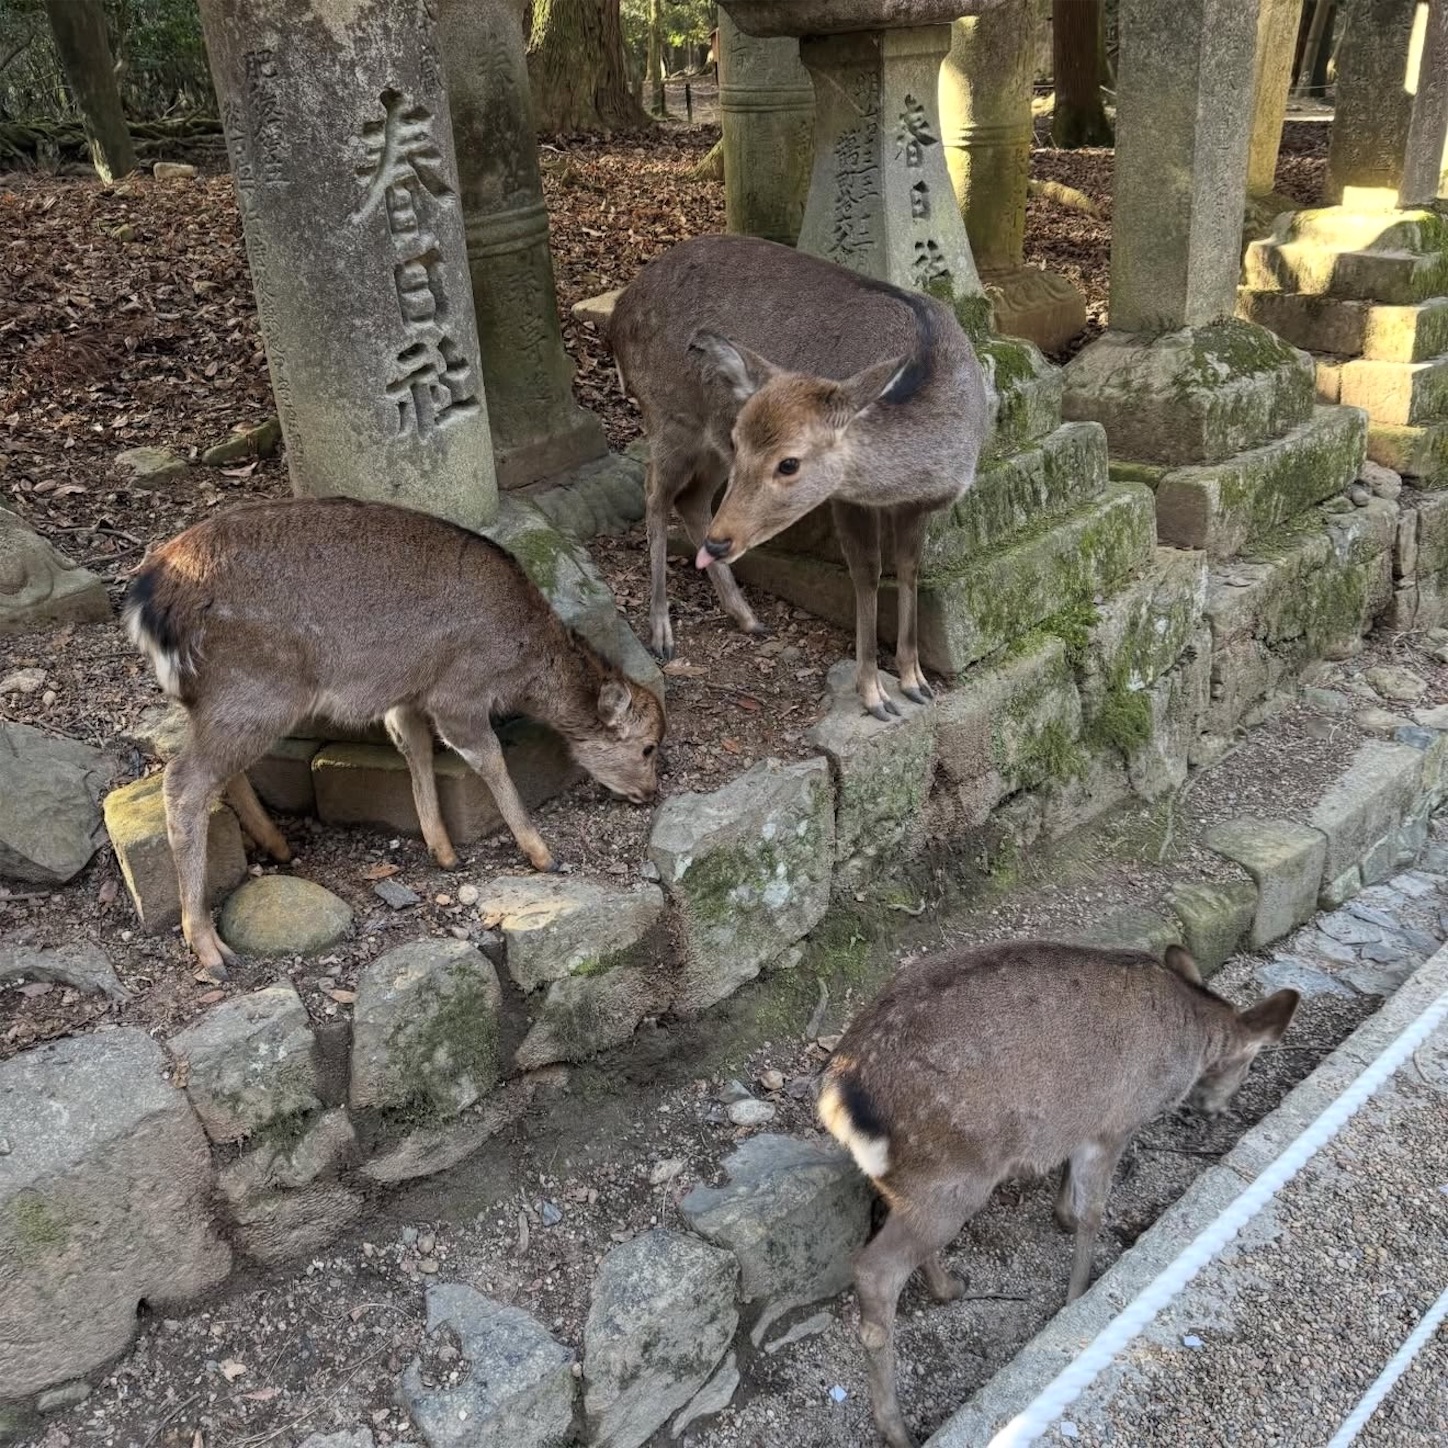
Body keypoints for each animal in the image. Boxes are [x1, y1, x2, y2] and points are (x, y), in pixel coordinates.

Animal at [123, 497, 666, 974]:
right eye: (647, 746)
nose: (650, 792)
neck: (521, 657)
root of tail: (148, 605)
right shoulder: (458, 692)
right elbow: (489, 758)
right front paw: (542, 854)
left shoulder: (407, 694)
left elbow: (415, 749)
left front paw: (442, 850)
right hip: (253, 689)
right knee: (183, 780)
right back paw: (209, 948)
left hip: (220, 702)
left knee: (213, 771)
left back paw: (277, 846)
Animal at [608, 233, 992, 722]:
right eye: (743, 441)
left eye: (788, 463)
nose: (721, 542)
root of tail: (618, 313)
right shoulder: (849, 501)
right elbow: (867, 575)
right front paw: (875, 695)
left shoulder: (916, 506)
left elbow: (909, 570)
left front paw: (916, 681)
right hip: (669, 416)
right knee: (656, 495)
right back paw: (661, 632)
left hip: (706, 443)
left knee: (690, 499)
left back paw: (748, 617)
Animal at [818, 940, 1299, 1448]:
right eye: (1250, 1062)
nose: (1216, 1109)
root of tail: (836, 1094)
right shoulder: (1115, 1122)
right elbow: (1095, 1211)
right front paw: (1078, 1295)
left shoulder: (1081, 1119)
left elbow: (1071, 1177)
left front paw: (1062, 1217)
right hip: (952, 1172)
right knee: (875, 1271)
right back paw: (897, 1428)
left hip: (917, 1184)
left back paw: (950, 1288)